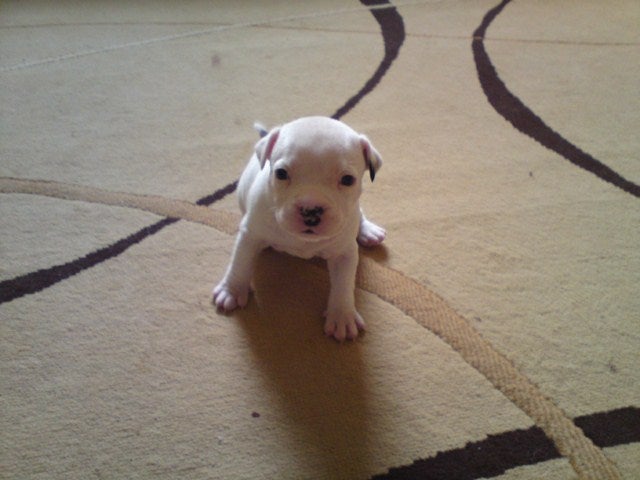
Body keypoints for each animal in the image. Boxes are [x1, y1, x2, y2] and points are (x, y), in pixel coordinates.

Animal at [214, 116, 384, 342]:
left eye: (348, 180)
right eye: (281, 173)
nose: (310, 210)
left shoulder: (344, 253)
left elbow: (344, 283)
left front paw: (342, 315)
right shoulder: (250, 235)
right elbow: (240, 262)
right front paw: (231, 291)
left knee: (360, 214)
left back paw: (368, 231)